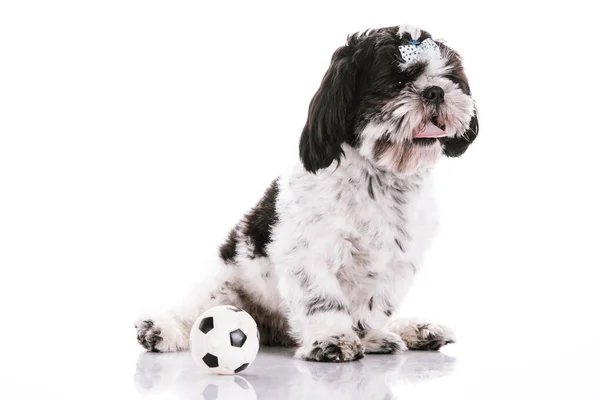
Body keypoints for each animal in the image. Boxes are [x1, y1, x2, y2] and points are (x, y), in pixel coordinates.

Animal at [135, 25, 478, 362]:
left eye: (449, 77)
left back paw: (419, 330)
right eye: (397, 83)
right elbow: (322, 299)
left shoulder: (396, 262)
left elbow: (372, 307)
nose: (435, 91)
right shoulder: (309, 253)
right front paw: (333, 338)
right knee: (194, 313)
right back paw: (161, 329)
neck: (378, 178)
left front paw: (370, 337)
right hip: (224, 288)